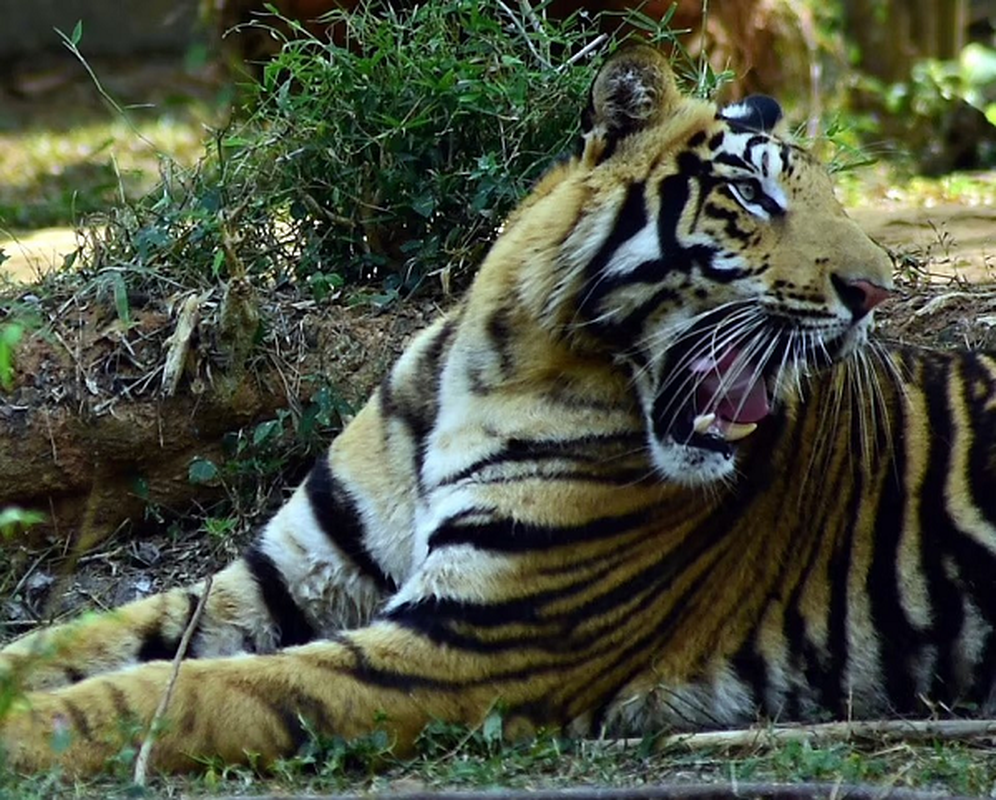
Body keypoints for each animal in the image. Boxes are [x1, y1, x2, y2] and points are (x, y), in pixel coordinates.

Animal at [3, 47, 992, 780]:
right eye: (752, 194)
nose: (876, 292)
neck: (498, 364)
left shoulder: (471, 640)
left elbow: (177, 695)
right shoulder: (286, 578)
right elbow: (82, 640)